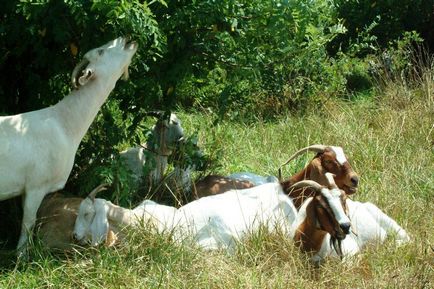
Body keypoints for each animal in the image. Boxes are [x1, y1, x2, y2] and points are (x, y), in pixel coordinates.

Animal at [0, 36, 137, 254]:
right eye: (101, 52)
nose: (125, 39)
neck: (65, 123)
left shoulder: (25, 189)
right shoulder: (36, 185)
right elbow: (28, 224)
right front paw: (21, 256)